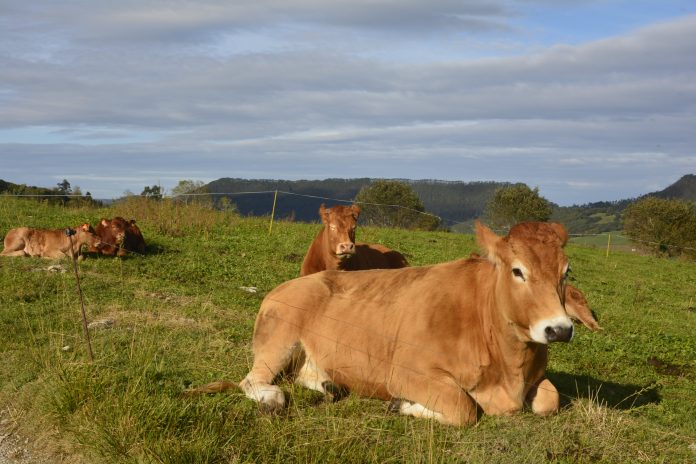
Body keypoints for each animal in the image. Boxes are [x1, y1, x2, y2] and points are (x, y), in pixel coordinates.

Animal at [192, 222, 592, 428]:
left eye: (566, 271)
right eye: (518, 271)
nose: (559, 329)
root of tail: (286, 286)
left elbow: (550, 400)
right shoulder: (407, 372)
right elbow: (464, 410)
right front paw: (401, 406)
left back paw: (331, 386)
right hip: (279, 339)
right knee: (252, 380)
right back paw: (273, 400)